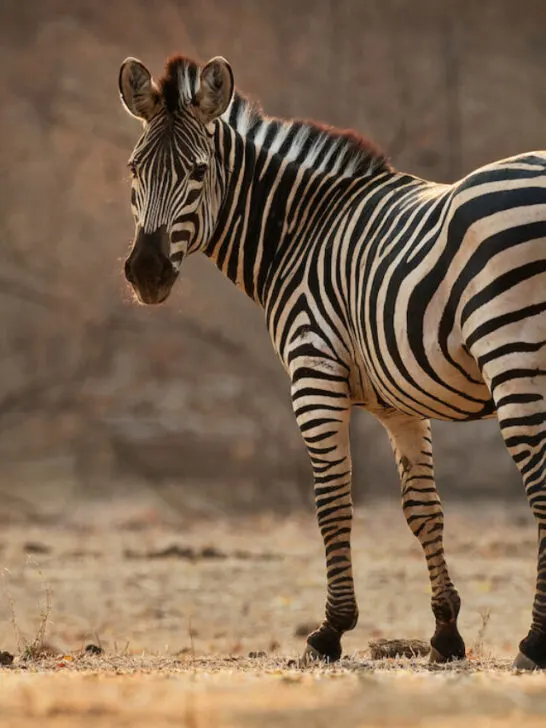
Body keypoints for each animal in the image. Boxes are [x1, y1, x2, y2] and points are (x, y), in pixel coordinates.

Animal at [119, 52, 546, 670]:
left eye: (197, 173)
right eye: (133, 170)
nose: (146, 273)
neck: (299, 230)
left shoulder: (313, 372)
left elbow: (332, 502)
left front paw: (330, 632)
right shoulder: (398, 402)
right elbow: (423, 509)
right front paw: (445, 635)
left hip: (514, 354)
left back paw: (535, 642)